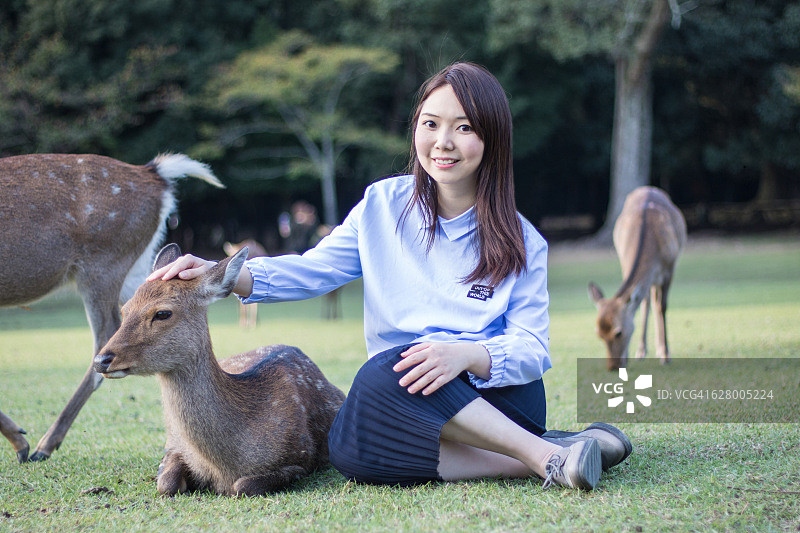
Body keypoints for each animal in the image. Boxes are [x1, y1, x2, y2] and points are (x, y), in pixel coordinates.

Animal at [0, 153, 223, 463]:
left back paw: (42, 445)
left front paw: (20, 440)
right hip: (138, 268)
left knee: (104, 337)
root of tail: (156, 174)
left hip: (103, 262)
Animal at [93, 244, 346, 496]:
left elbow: (242, 485)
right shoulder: (173, 444)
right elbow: (166, 483)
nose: (100, 360)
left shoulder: (300, 459)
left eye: (163, 313)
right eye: (125, 310)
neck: (224, 466)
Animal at [588, 186, 687, 371]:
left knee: (656, 304)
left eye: (618, 332)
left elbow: (662, 307)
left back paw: (660, 350)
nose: (612, 366)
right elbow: (637, 306)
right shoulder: (624, 263)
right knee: (647, 302)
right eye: (599, 334)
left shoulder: (670, 268)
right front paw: (628, 357)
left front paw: (666, 354)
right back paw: (642, 351)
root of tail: (648, 188)